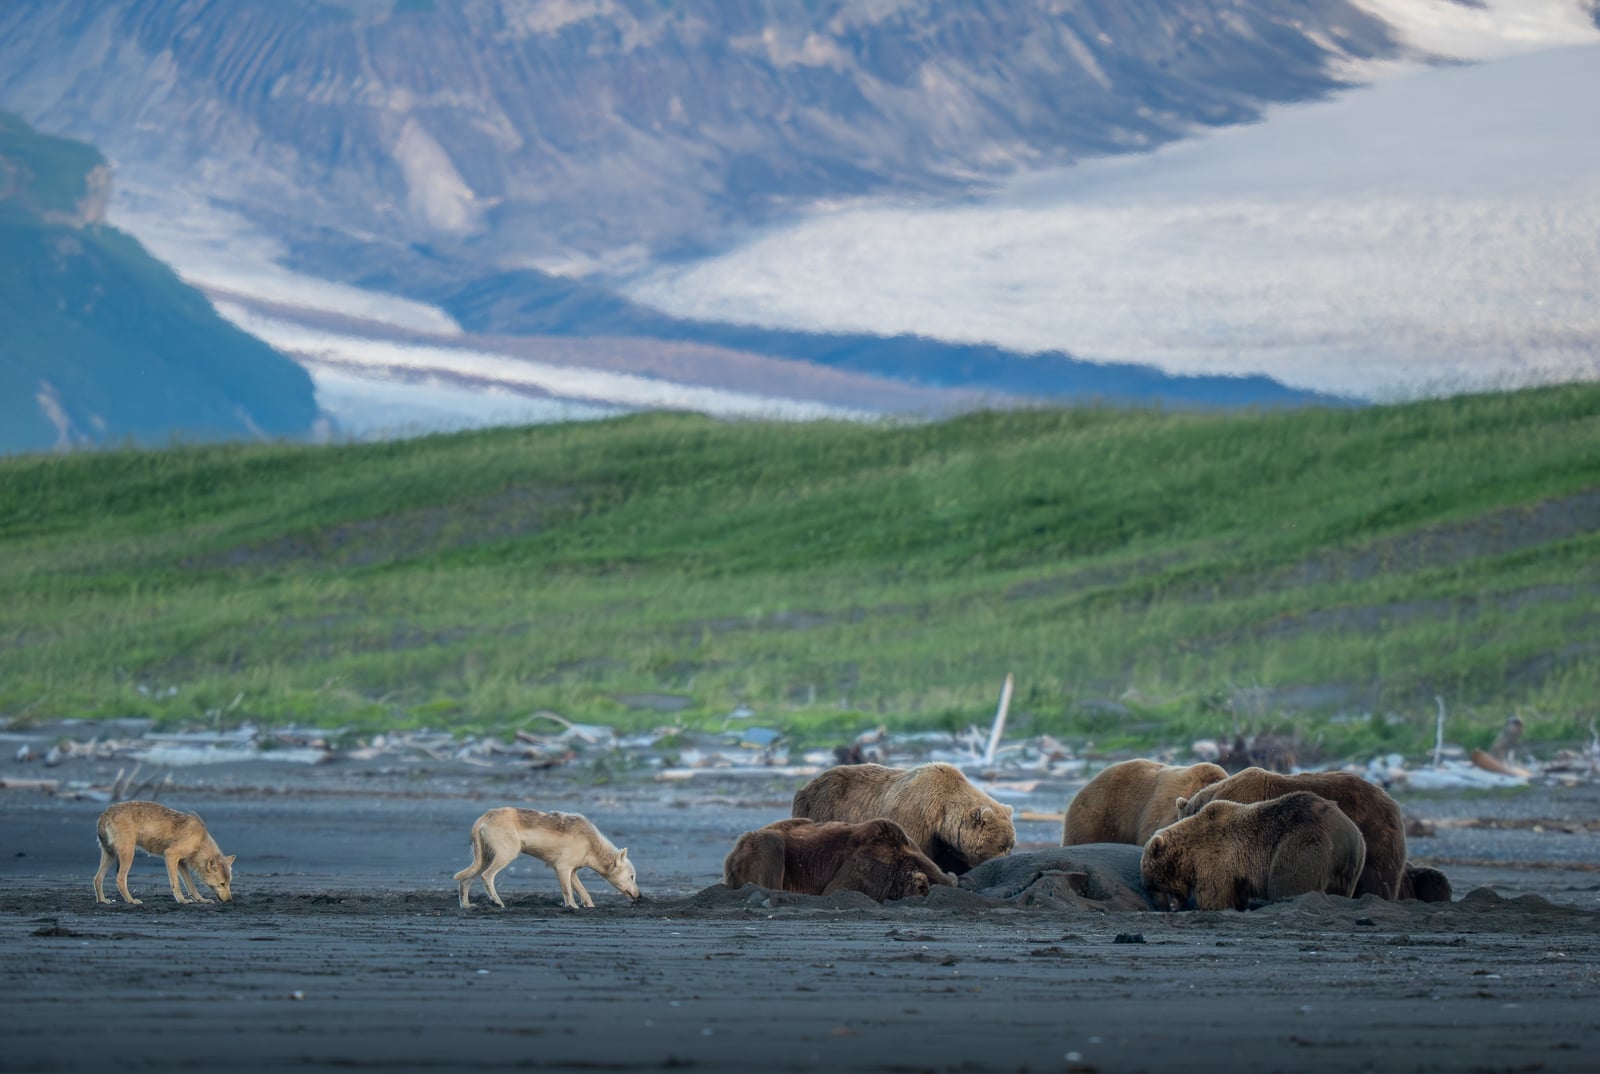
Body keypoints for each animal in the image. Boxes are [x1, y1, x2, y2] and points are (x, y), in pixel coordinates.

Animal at [93, 800, 236, 905]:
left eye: (229, 883)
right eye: (222, 884)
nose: (230, 900)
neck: (200, 841)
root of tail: (105, 814)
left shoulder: (181, 863)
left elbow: (191, 886)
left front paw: (202, 900)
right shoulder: (170, 855)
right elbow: (175, 883)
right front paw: (182, 900)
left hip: (111, 855)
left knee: (97, 878)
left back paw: (102, 901)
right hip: (128, 855)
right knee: (120, 879)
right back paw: (131, 901)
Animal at [454, 807, 640, 909]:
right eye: (632, 877)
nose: (640, 896)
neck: (591, 843)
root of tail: (485, 816)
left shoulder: (572, 872)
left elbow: (585, 893)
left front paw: (589, 907)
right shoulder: (562, 868)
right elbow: (568, 893)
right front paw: (572, 907)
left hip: (484, 860)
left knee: (465, 881)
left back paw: (466, 905)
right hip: (504, 856)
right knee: (487, 877)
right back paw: (498, 902)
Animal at [790, 762, 1015, 875]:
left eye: (1011, 845)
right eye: (1001, 846)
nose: (1006, 859)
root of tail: (805, 786)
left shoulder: (944, 840)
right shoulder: (917, 819)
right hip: (821, 809)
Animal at [1141, 791, 1367, 912]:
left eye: (1154, 885)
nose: (1162, 906)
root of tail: (1347, 832)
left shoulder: (1216, 858)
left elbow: (1215, 895)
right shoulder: (1236, 873)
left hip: (1301, 843)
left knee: (1289, 883)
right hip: (1350, 867)